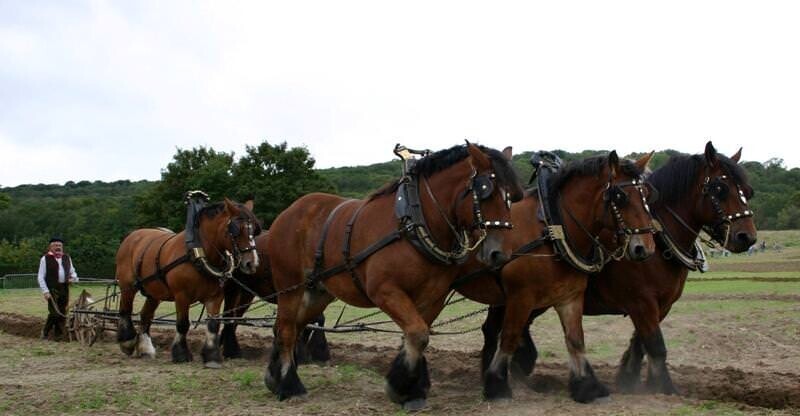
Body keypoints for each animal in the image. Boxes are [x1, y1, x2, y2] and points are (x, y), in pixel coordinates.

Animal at [114, 197, 260, 368]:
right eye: (235, 231)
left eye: (253, 230)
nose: (252, 263)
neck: (197, 253)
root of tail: (133, 235)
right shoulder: (182, 295)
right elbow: (183, 324)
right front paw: (181, 354)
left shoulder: (215, 297)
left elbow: (213, 325)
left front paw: (212, 356)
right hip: (127, 285)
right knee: (125, 310)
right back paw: (127, 342)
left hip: (154, 292)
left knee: (145, 315)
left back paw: (145, 349)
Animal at [266, 143, 520, 410]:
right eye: (486, 193)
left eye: (511, 198)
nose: (500, 254)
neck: (416, 221)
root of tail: (290, 210)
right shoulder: (385, 290)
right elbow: (417, 334)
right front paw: (400, 387)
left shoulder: (433, 296)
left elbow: (416, 336)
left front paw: (410, 390)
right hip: (290, 285)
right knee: (286, 329)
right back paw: (290, 385)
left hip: (319, 291)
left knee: (291, 326)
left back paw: (274, 377)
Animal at [454, 151, 660, 402]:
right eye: (620, 197)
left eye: (646, 194)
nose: (646, 248)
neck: (553, 228)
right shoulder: (521, 297)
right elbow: (510, 336)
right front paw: (497, 386)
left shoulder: (569, 296)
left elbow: (575, 339)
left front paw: (587, 386)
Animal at [490, 141, 760, 394]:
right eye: (720, 189)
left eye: (748, 191)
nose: (747, 237)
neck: (659, 241)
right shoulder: (641, 301)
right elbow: (656, 345)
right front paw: (666, 388)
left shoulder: (661, 305)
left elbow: (640, 343)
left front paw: (632, 379)